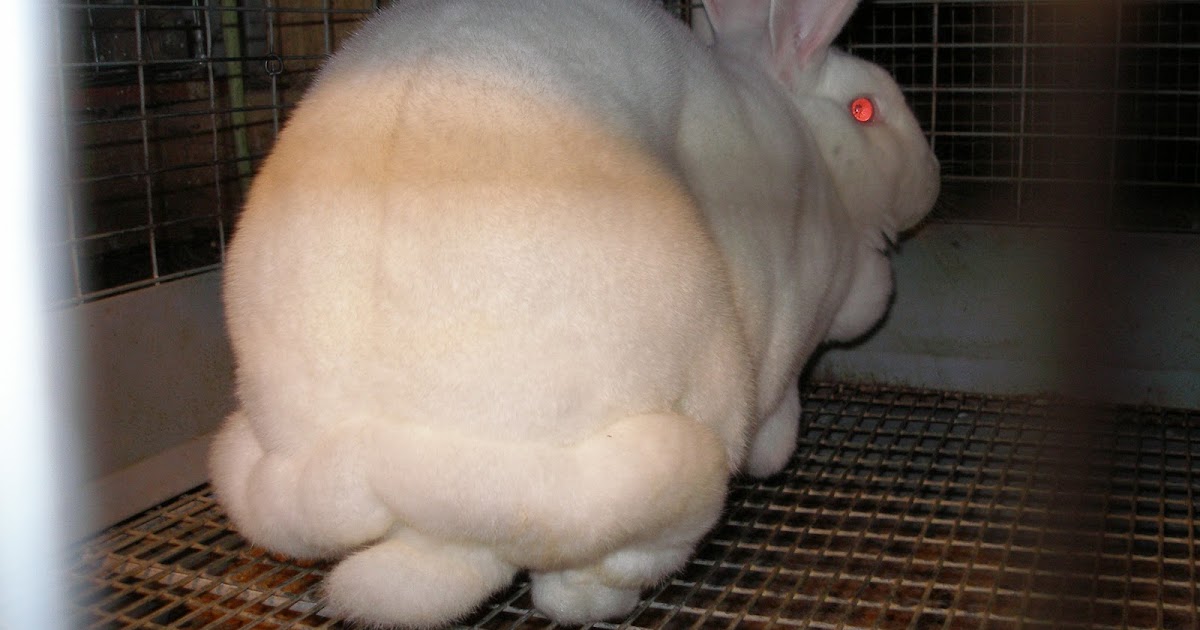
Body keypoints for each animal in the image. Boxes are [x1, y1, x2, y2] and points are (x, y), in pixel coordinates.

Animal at [208, 0, 940, 627]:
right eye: (866, 109)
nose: (932, 180)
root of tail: (389, 449)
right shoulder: (793, 337)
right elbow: (781, 423)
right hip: (676, 426)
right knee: (595, 573)